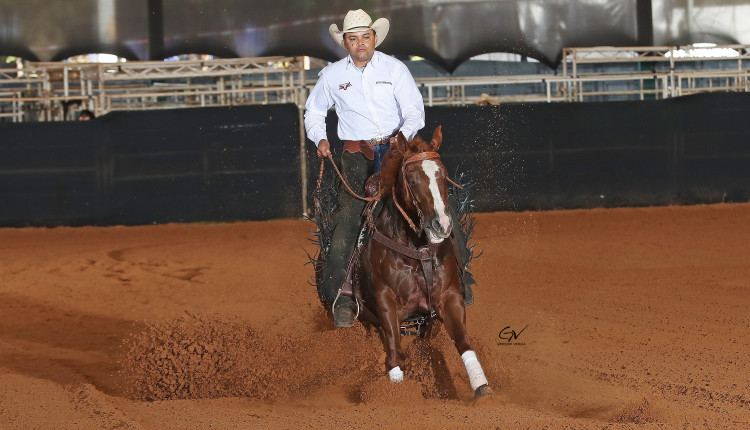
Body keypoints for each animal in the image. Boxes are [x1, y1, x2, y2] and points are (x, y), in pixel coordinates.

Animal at [358, 126, 494, 398]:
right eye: (412, 180)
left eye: (444, 175)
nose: (442, 225)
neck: (416, 248)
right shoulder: (385, 300)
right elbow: (395, 353)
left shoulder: (448, 296)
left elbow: (463, 341)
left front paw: (481, 386)